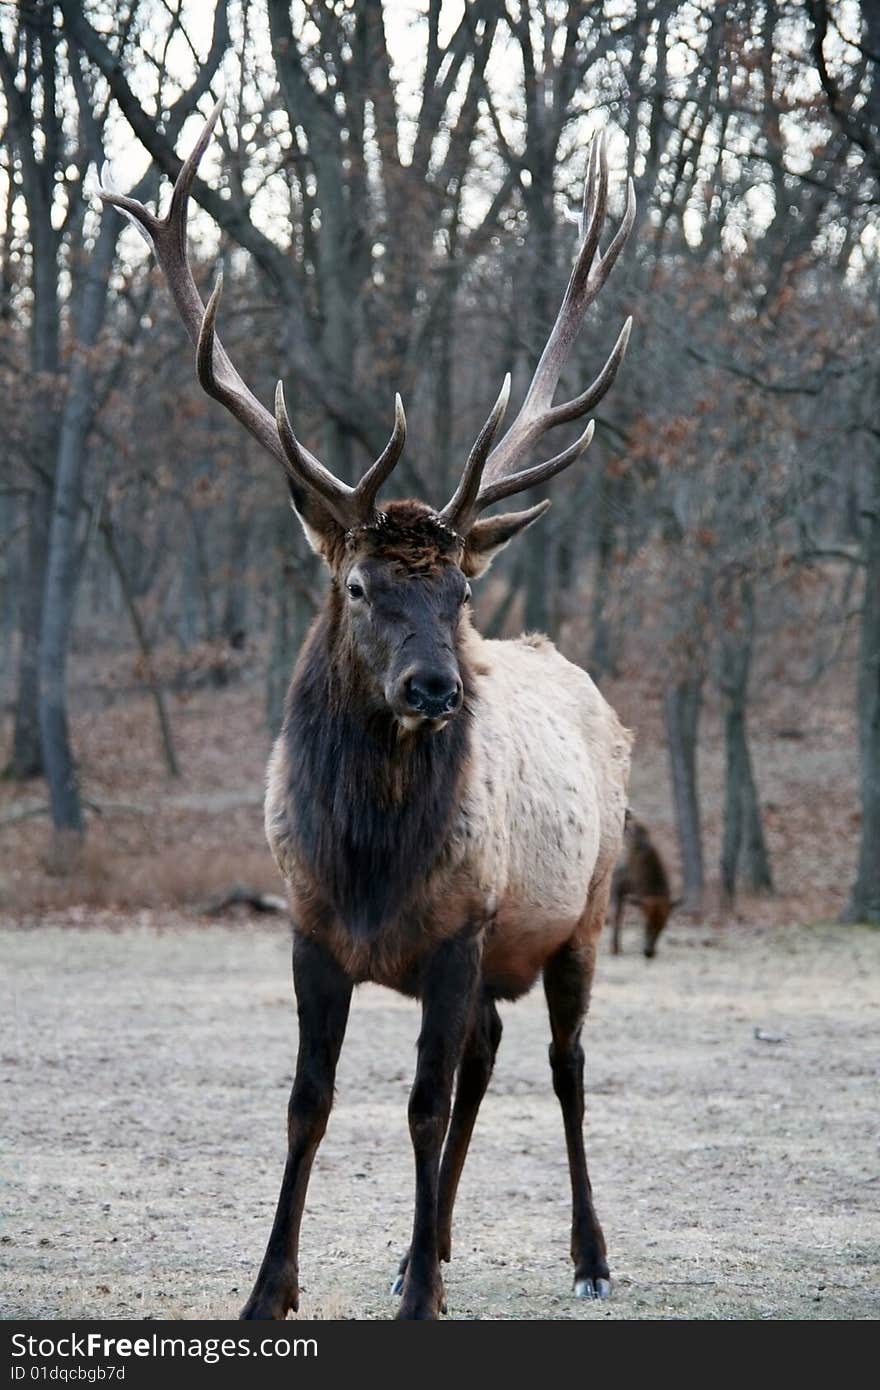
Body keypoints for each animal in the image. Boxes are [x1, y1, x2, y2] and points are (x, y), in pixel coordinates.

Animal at [102, 95, 633, 1312]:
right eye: (357, 585)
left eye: (460, 590)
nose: (434, 685)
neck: (372, 862)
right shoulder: (307, 924)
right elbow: (311, 1102)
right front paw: (273, 1290)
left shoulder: (461, 926)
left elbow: (420, 1106)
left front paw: (418, 1302)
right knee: (489, 1057)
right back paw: (420, 1244)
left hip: (581, 909)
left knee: (564, 1065)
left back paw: (584, 1256)